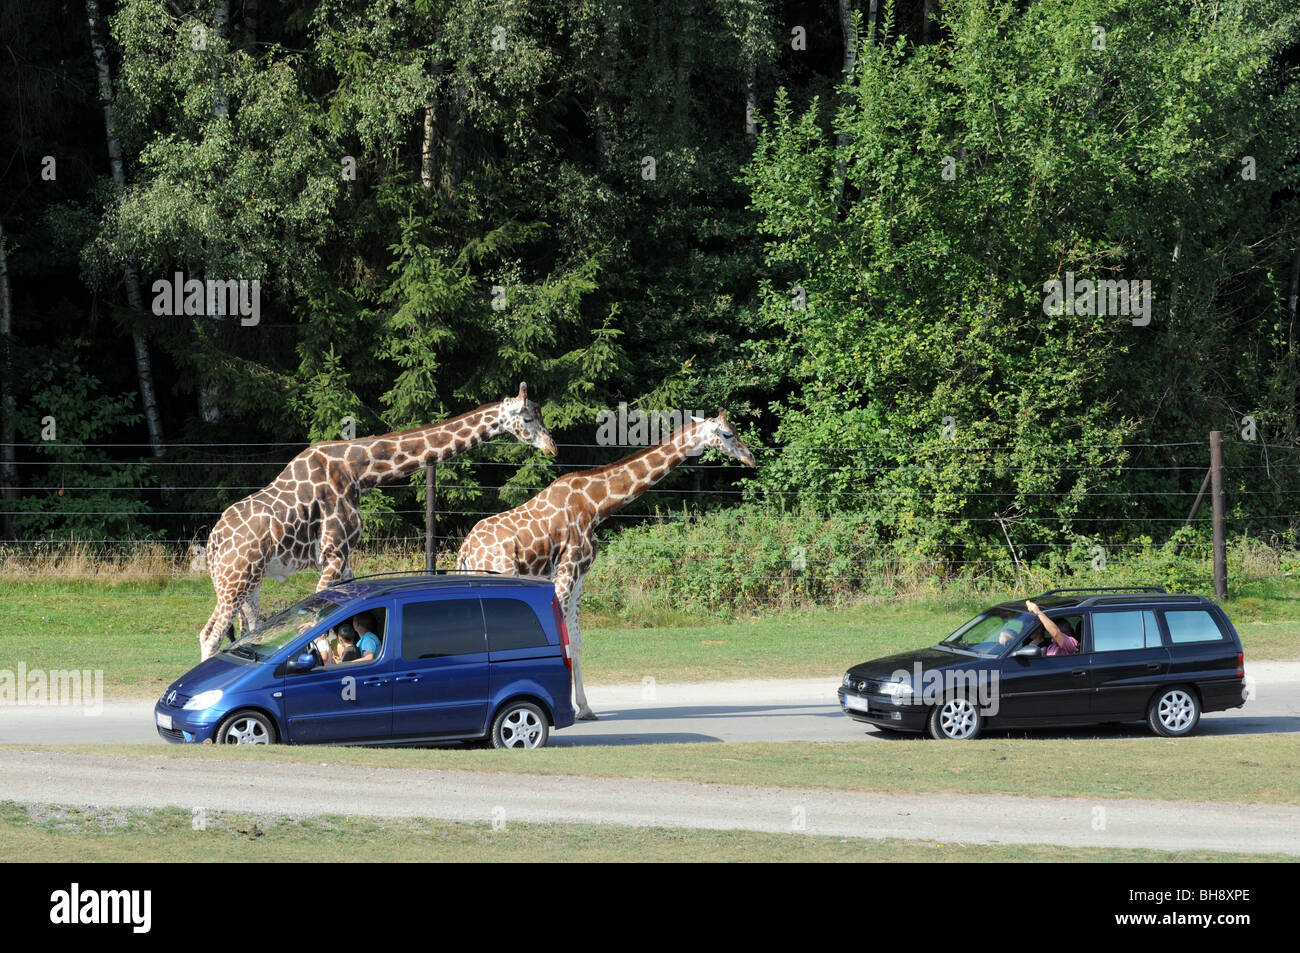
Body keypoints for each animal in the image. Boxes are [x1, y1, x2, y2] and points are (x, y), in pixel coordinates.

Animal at [196, 382, 553, 657]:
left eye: (540, 414)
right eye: (526, 417)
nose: (552, 446)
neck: (358, 472)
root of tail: (213, 543)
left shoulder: (343, 558)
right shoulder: (332, 554)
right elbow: (318, 629)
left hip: (250, 582)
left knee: (246, 628)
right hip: (234, 579)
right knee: (210, 635)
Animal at [457, 413, 759, 717]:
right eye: (727, 434)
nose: (750, 457)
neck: (596, 506)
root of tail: (466, 549)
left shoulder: (579, 578)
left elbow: (576, 641)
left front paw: (585, 707)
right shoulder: (566, 570)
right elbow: (562, 641)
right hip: (499, 573)